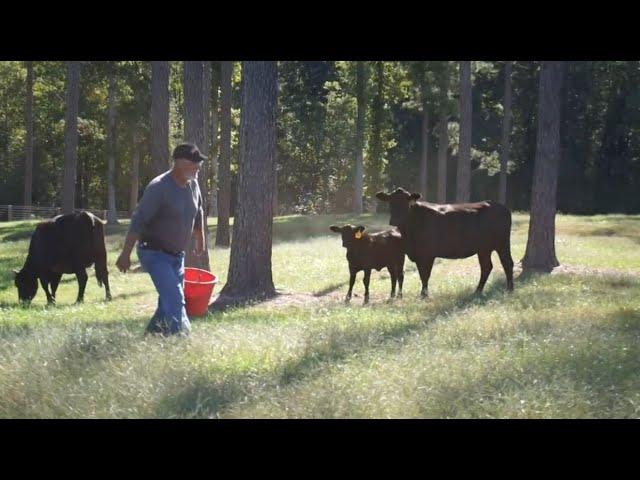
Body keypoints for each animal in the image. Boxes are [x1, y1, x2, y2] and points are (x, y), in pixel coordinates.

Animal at [376, 189, 516, 298]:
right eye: (390, 202)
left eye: (406, 202)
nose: (394, 220)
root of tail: (502, 207)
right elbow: (422, 274)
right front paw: (423, 294)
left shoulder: (427, 254)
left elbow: (425, 275)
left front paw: (424, 295)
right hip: (484, 249)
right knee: (487, 267)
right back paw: (477, 291)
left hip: (502, 243)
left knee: (507, 263)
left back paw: (510, 289)